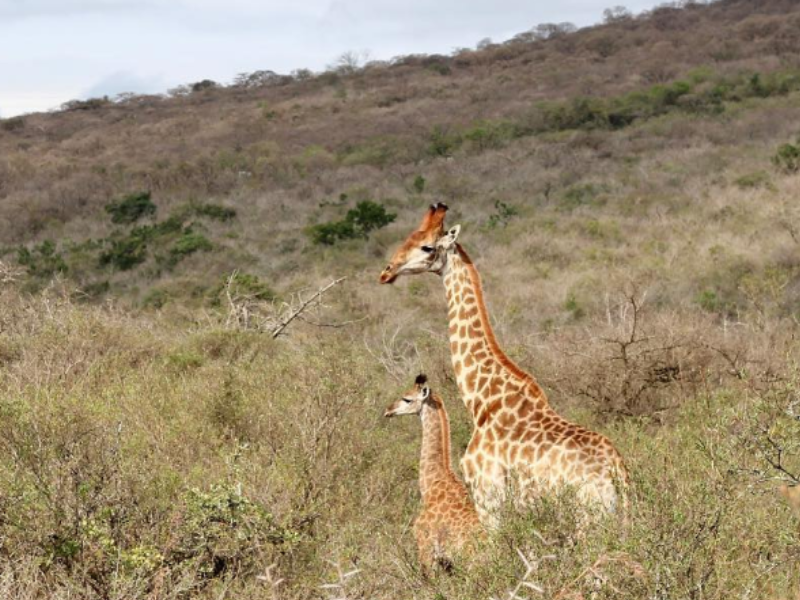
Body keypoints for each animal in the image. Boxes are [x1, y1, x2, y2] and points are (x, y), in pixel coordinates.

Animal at [379, 203, 629, 525]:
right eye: (408, 238)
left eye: (427, 247)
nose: (386, 272)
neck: (482, 400)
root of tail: (617, 474)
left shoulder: (488, 497)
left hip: (589, 517)